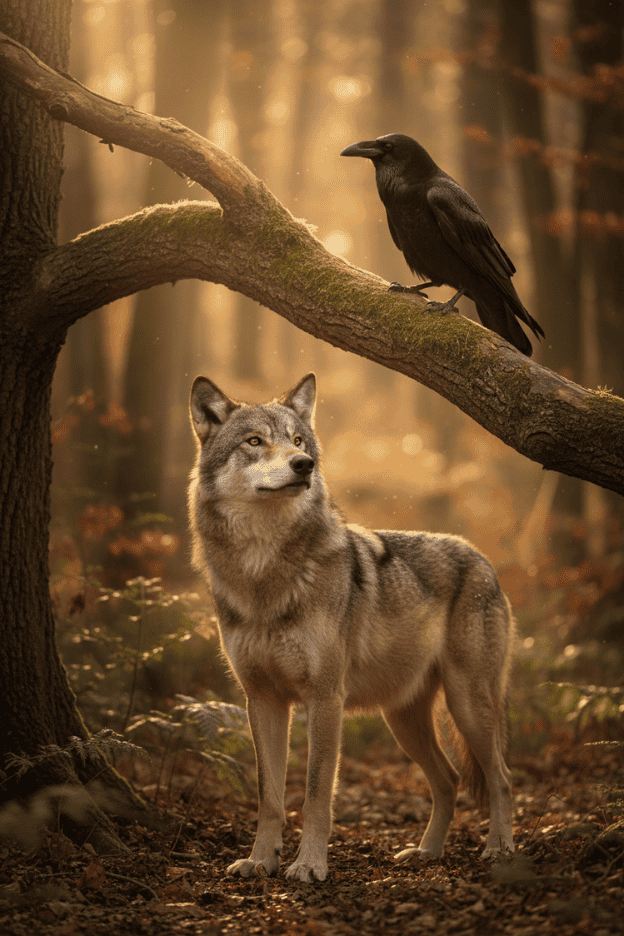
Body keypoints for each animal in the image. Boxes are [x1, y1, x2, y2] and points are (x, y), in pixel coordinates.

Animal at [188, 373, 515, 883]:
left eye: (298, 441)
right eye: (255, 441)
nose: (304, 464)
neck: (264, 573)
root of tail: (482, 559)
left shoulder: (326, 698)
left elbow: (316, 793)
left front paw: (308, 865)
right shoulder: (262, 700)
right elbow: (269, 796)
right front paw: (260, 861)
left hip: (467, 704)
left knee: (500, 777)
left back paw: (499, 848)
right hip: (402, 719)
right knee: (450, 779)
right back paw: (426, 852)